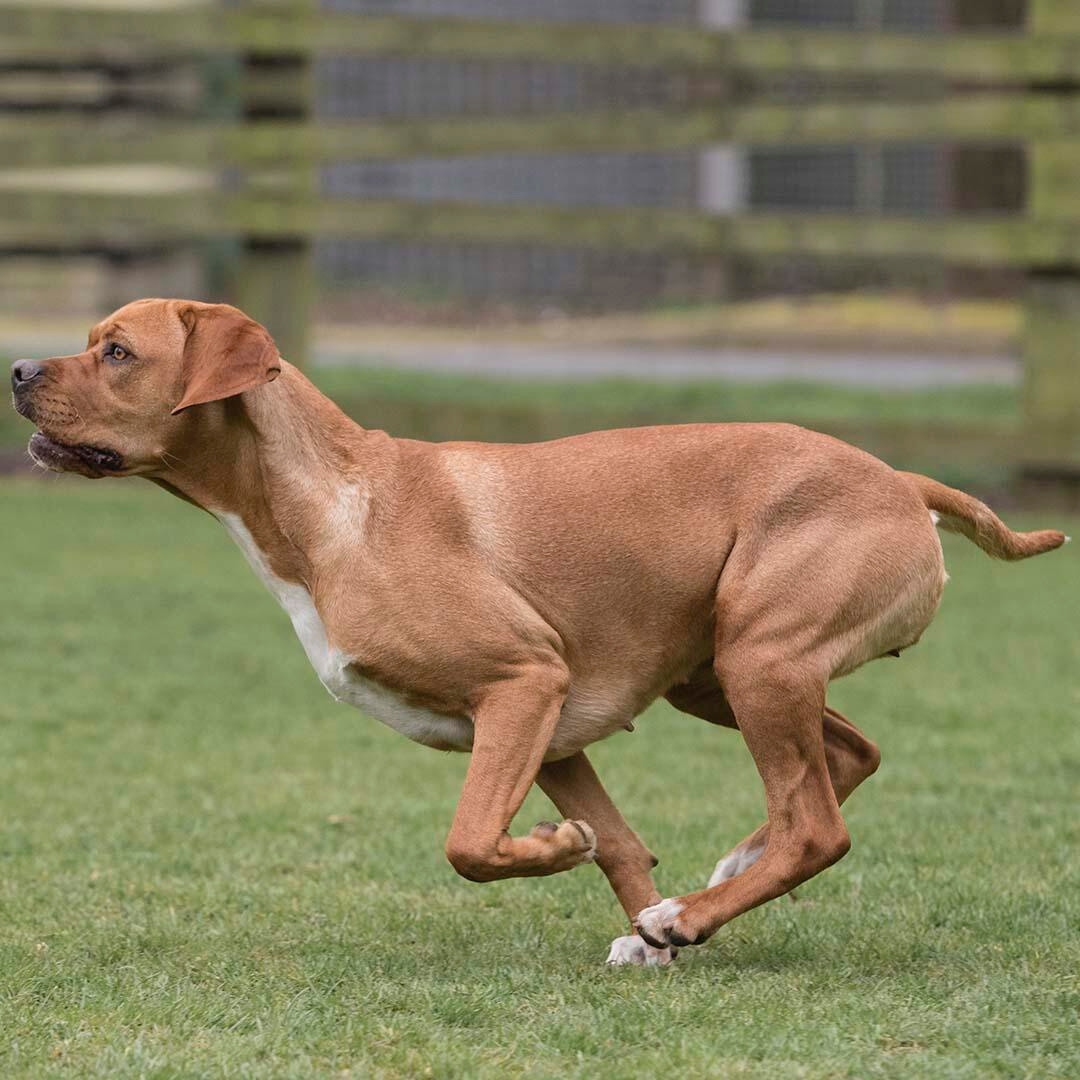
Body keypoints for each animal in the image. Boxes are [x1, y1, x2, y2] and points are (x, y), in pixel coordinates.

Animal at [8, 300, 1067, 967]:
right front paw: (644, 926)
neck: (333, 502)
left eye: (117, 351)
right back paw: (703, 897)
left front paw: (561, 854)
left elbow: (473, 843)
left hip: (760, 663)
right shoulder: (554, 731)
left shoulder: (522, 689)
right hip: (722, 675)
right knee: (848, 759)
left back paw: (701, 908)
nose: (17, 369)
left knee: (818, 824)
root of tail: (904, 482)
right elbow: (623, 848)